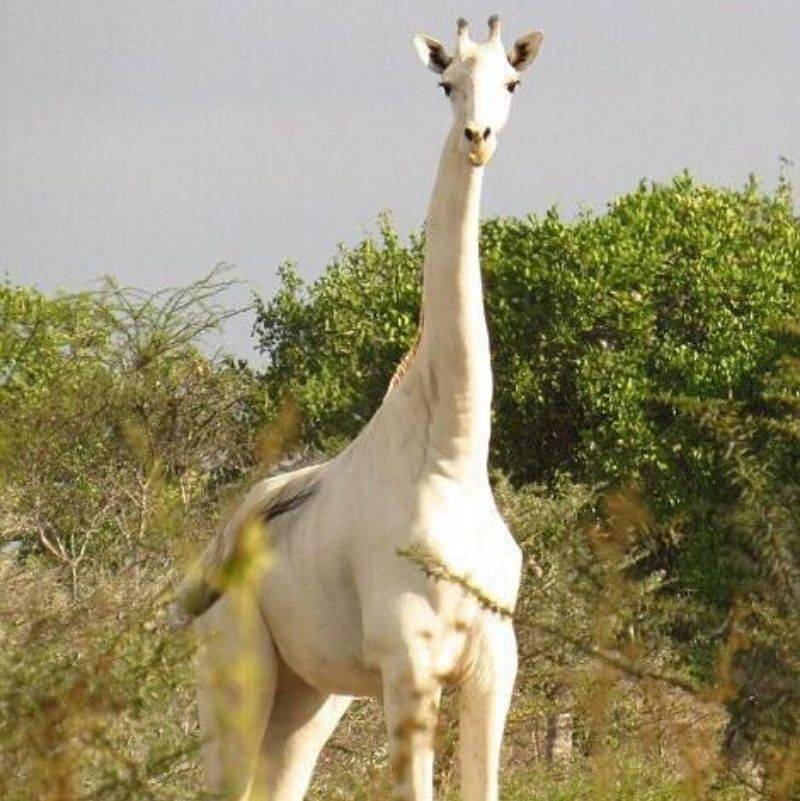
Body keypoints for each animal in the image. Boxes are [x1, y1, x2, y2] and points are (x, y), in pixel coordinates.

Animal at [172, 16, 544, 801]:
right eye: (446, 82)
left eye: (511, 81)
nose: (478, 137)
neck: (450, 459)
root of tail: (211, 555)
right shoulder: (409, 662)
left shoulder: (496, 660)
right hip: (236, 673)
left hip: (311, 696)